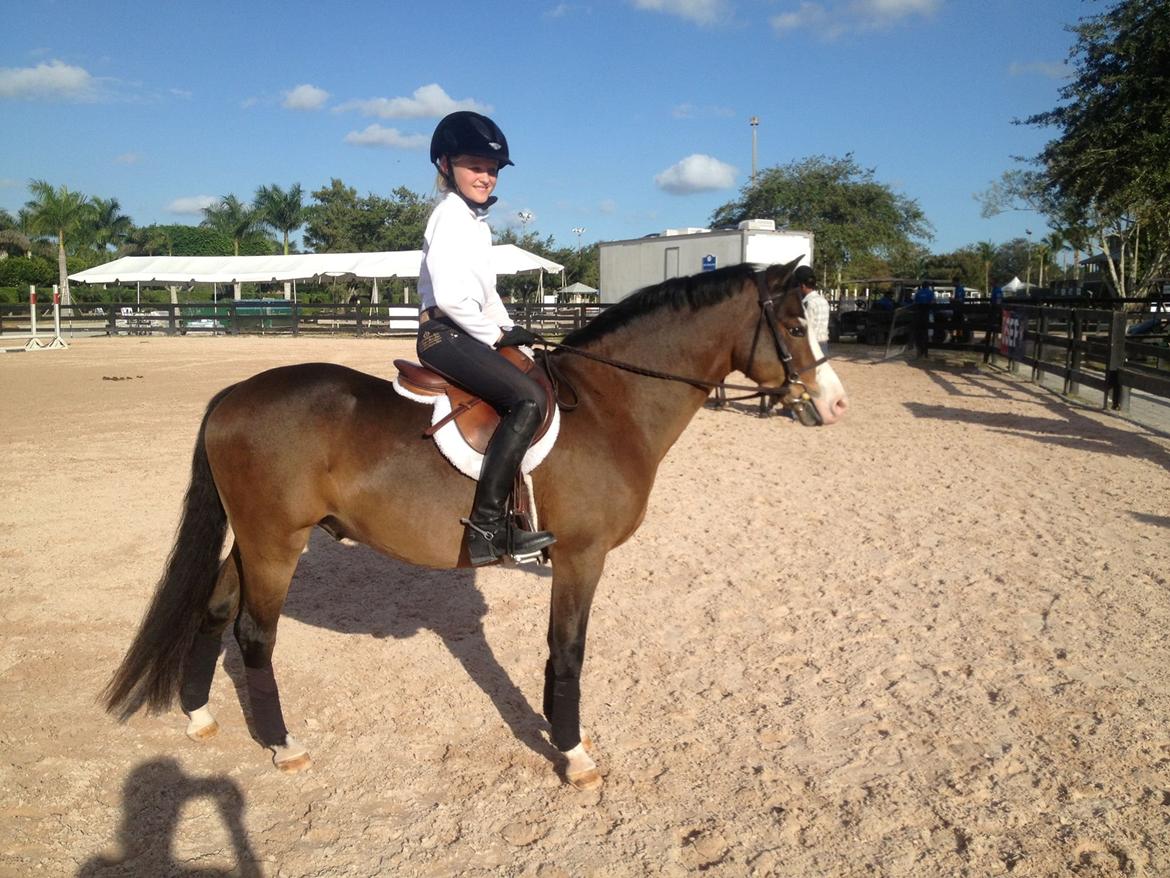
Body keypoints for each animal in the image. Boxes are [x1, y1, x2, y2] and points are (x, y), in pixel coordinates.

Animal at [102, 257, 848, 790]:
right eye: (793, 325)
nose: (835, 406)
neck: (610, 404)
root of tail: (232, 395)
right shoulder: (581, 556)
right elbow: (567, 652)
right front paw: (574, 755)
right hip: (273, 544)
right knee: (255, 634)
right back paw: (285, 747)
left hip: (256, 541)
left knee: (214, 608)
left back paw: (200, 715)